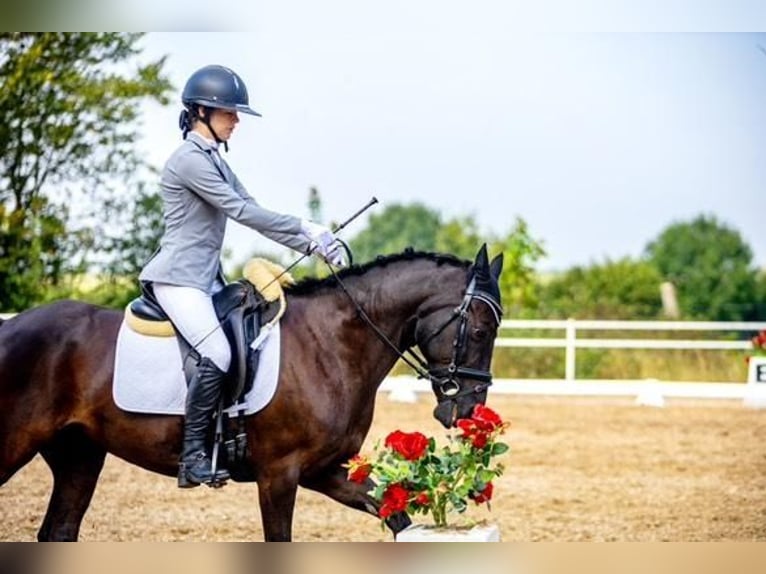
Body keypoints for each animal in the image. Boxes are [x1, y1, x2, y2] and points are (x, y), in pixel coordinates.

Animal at [0, 246, 504, 540]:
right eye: (480, 330)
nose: (468, 410)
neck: (331, 343)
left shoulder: (324, 470)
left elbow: (397, 517)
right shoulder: (278, 474)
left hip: (78, 455)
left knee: (59, 531)